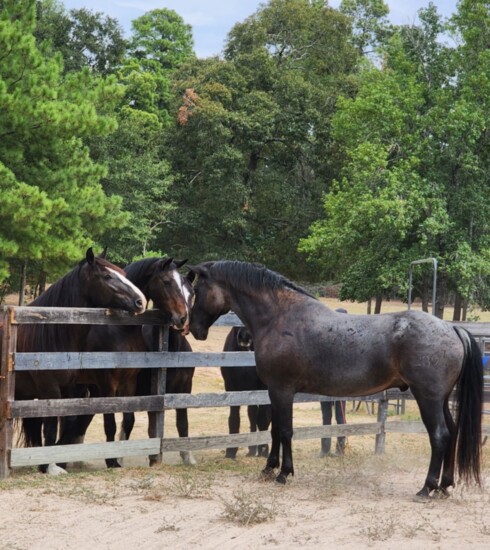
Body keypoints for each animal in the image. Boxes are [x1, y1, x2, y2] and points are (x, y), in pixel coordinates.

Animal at [1, 248, 147, 476]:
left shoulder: (68, 390)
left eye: (123, 272)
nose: (141, 301)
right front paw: (51, 466)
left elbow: (65, 423)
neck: (51, 334)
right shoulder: (50, 391)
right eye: (107, 276)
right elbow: (51, 429)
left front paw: (51, 463)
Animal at [57, 258, 193, 470]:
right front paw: (112, 460)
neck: (120, 329)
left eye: (189, 290)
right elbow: (111, 423)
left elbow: (129, 420)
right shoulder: (108, 385)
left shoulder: (131, 383)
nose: (183, 318)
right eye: (166, 282)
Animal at [222, 328, 272, 462]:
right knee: (252, 415)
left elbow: (263, 419)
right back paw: (252, 449)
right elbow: (234, 419)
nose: (244, 337)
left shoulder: (262, 389)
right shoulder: (232, 388)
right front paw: (230, 452)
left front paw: (264, 450)